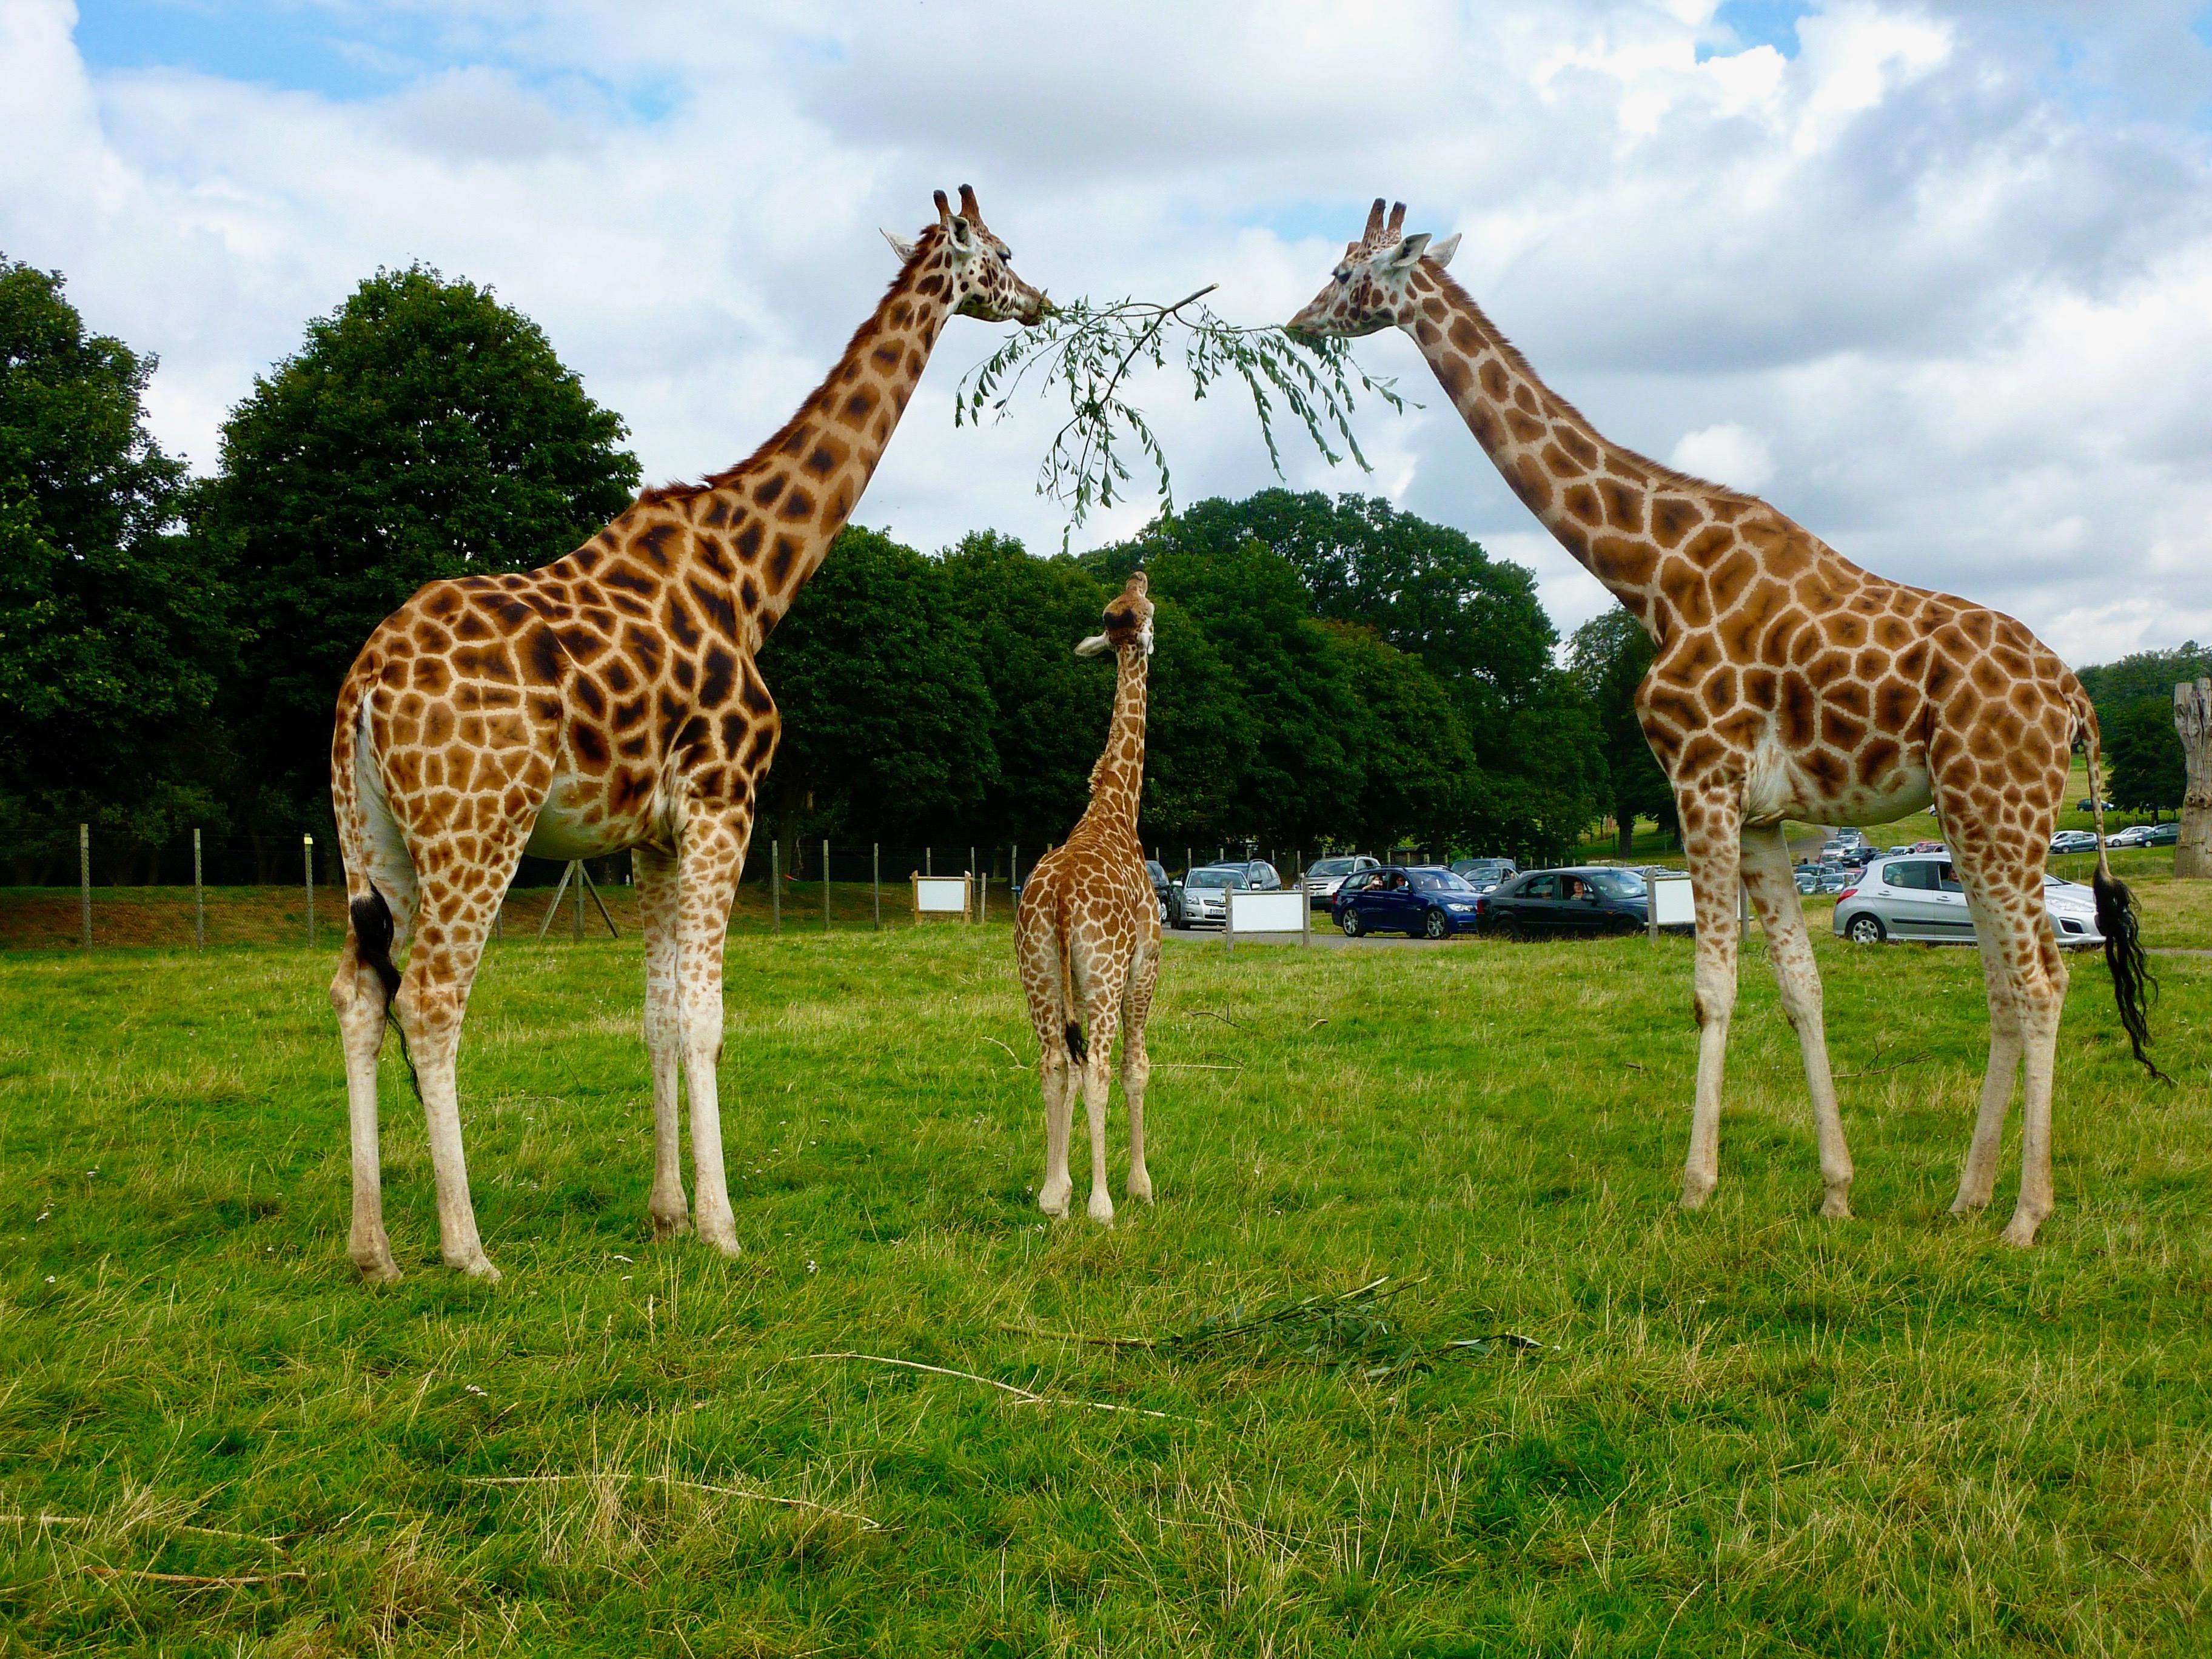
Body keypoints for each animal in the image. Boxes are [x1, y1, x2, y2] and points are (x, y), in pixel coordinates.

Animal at [328, 186, 1049, 1282]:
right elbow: (705, 1019)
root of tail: (364, 688)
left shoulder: (651, 835)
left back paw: (374, 1251)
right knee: (432, 1000)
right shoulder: (724, 799)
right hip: (475, 828)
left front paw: (665, 1213)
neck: (752, 580)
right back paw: (466, 1251)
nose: (1046, 300)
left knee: (358, 995)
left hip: (371, 841)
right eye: (1000, 253)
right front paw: (721, 1225)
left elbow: (658, 1017)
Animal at [1288, 200, 2160, 1246]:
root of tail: (2073, 697)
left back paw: (2026, 1217)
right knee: (2000, 982)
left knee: (2041, 979)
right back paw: (1967, 1196)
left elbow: (1711, 988)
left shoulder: (1699, 776)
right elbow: (1800, 987)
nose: (1294, 322)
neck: (1654, 575)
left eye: (1349, 275)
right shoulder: (1762, 814)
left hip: (2003, 805)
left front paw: (1696, 1186)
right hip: (1974, 816)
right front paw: (1836, 1191)